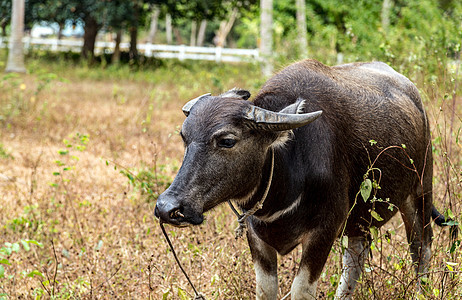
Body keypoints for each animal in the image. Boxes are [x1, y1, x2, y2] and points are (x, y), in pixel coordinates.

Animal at [154, 59, 454, 298]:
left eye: (227, 140)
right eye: (184, 137)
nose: (168, 208)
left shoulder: (323, 232)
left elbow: (302, 290)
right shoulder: (256, 236)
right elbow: (266, 290)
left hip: (420, 192)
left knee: (421, 250)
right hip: (360, 220)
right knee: (355, 259)